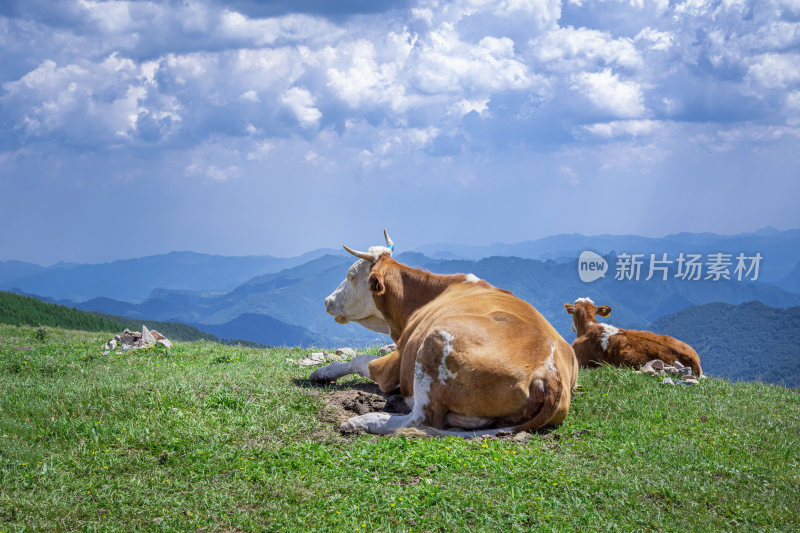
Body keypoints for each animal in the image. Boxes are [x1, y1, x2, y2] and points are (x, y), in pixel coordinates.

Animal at [310, 233, 580, 436]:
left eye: (351, 275)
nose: (326, 300)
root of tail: (548, 370)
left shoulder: (392, 367)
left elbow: (359, 360)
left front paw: (323, 372)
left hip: (434, 342)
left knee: (420, 418)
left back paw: (363, 420)